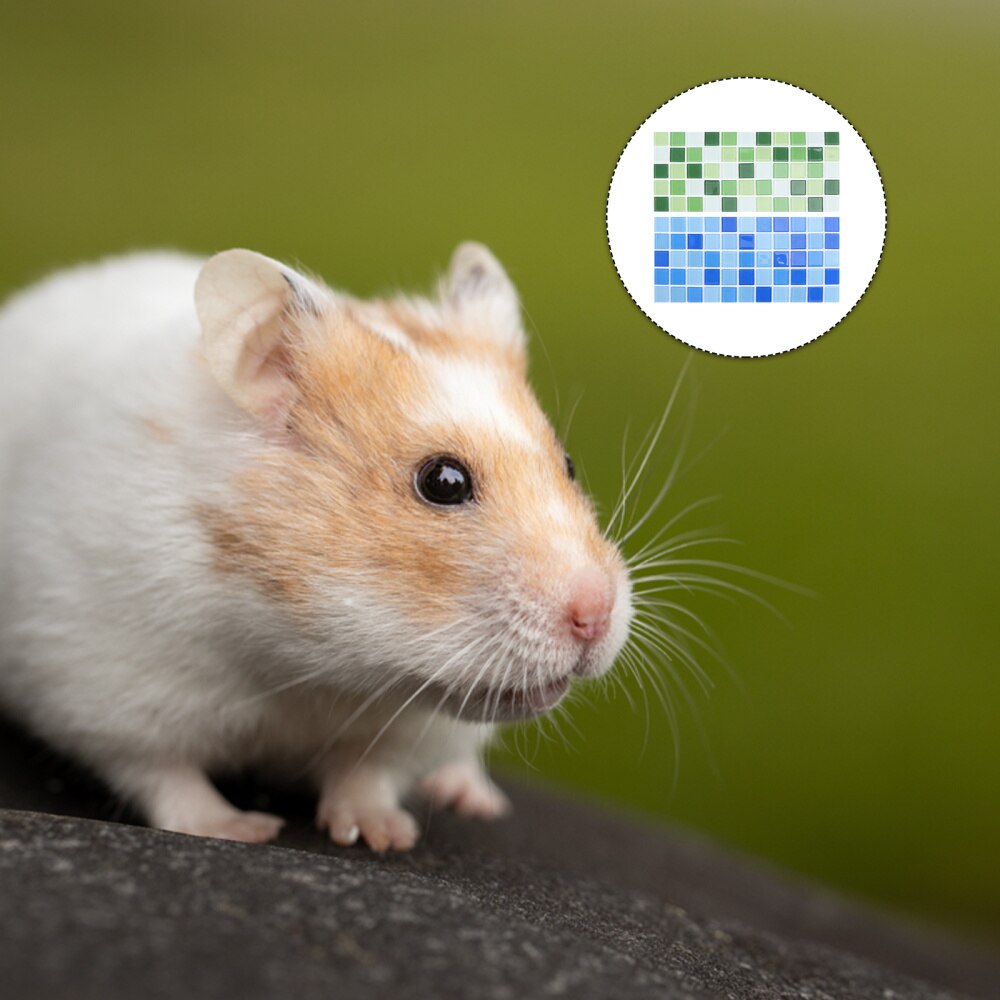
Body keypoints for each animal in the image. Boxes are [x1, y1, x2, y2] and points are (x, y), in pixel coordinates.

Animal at [0, 244, 632, 851]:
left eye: (568, 465)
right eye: (444, 481)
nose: (595, 616)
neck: (308, 668)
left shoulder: (410, 728)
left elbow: (366, 773)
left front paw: (383, 837)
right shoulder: (107, 683)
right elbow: (166, 776)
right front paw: (245, 830)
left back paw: (471, 796)